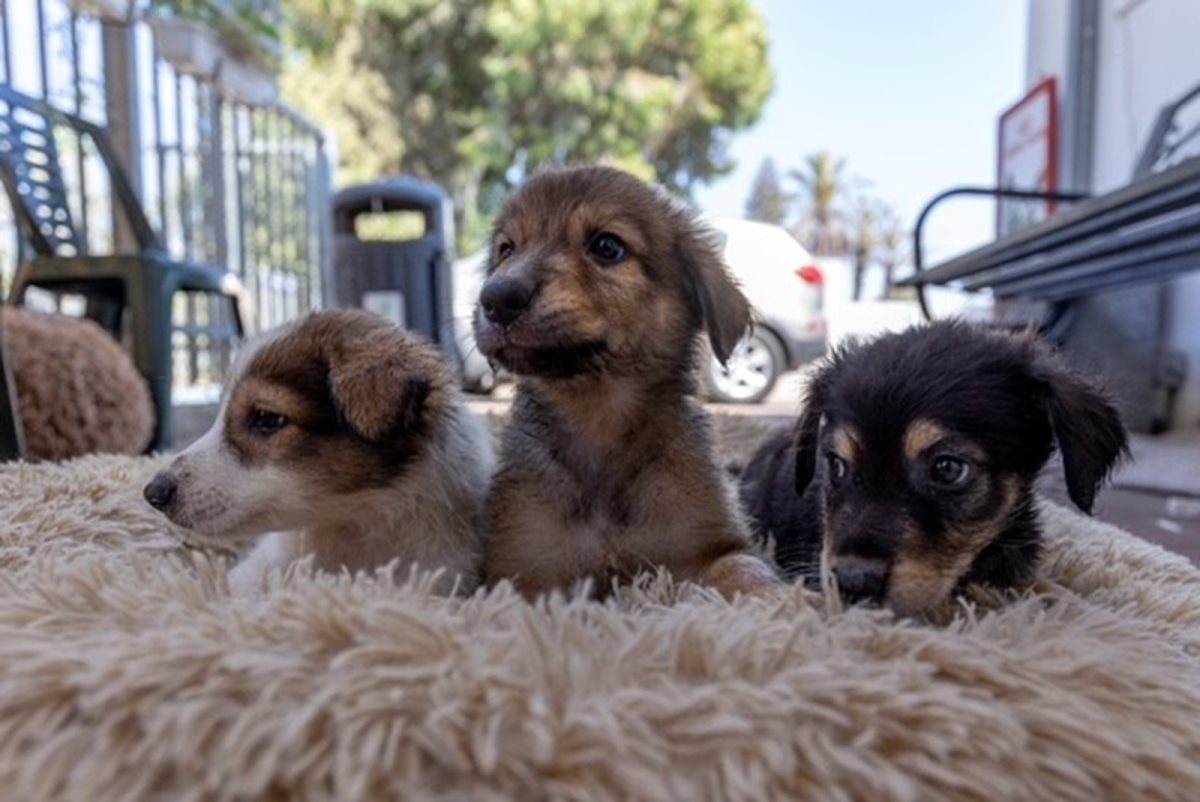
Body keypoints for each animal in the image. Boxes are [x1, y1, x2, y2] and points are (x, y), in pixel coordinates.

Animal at [472, 164, 782, 600]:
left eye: (607, 246)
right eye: (506, 250)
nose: (496, 299)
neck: (600, 415)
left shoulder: (707, 543)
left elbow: (745, 567)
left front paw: (784, 600)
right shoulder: (520, 568)